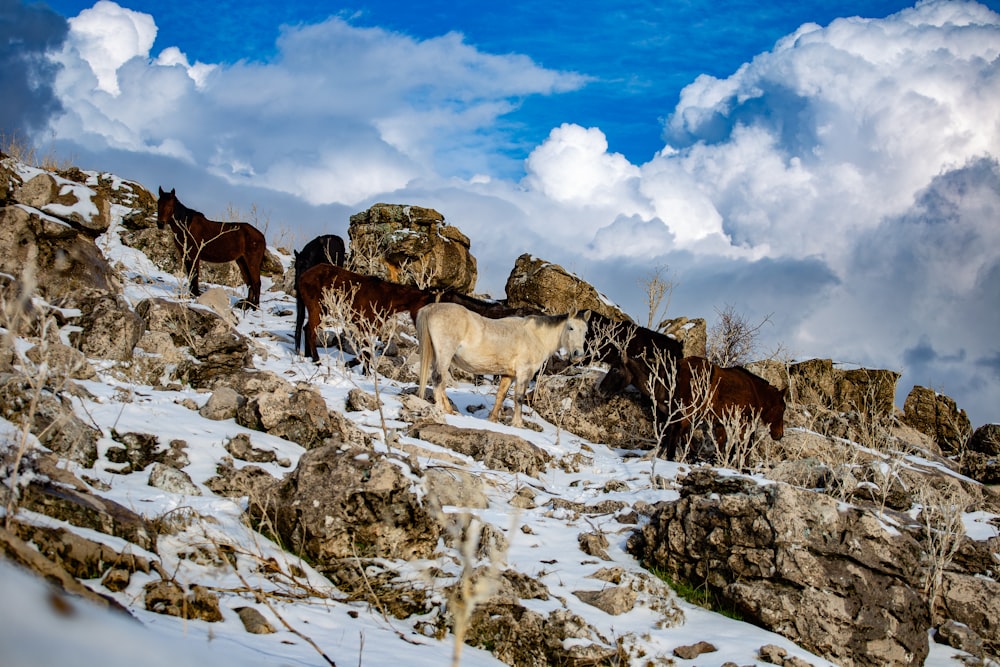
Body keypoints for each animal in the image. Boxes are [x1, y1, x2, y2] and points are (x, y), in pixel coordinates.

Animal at [296, 264, 438, 362]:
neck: (386, 298)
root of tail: (303, 275)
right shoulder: (365, 327)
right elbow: (366, 353)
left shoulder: (372, 329)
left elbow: (367, 353)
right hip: (318, 310)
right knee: (310, 331)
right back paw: (316, 359)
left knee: (306, 328)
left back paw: (308, 356)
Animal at [416, 302, 588, 428]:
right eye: (571, 328)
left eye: (585, 331)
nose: (578, 355)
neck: (535, 336)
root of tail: (431, 307)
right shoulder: (524, 373)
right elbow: (519, 398)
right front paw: (518, 424)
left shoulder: (508, 375)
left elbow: (501, 395)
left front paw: (492, 420)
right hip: (444, 354)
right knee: (438, 378)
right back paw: (440, 409)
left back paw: (450, 411)